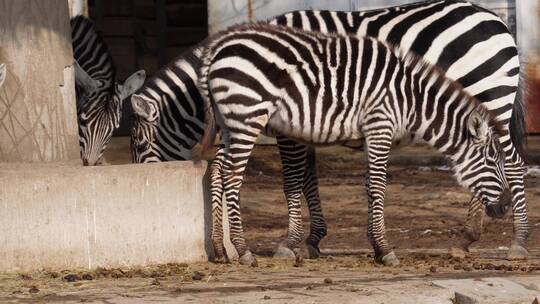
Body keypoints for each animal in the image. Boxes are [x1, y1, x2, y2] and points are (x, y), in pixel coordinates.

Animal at [131, 1, 528, 264]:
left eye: (139, 144)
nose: (144, 178)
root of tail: (496, 18)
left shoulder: (292, 126)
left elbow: (295, 179)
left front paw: (295, 241)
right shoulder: (306, 122)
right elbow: (308, 179)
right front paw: (310, 239)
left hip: (491, 96)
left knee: (515, 164)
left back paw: (516, 241)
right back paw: (468, 238)